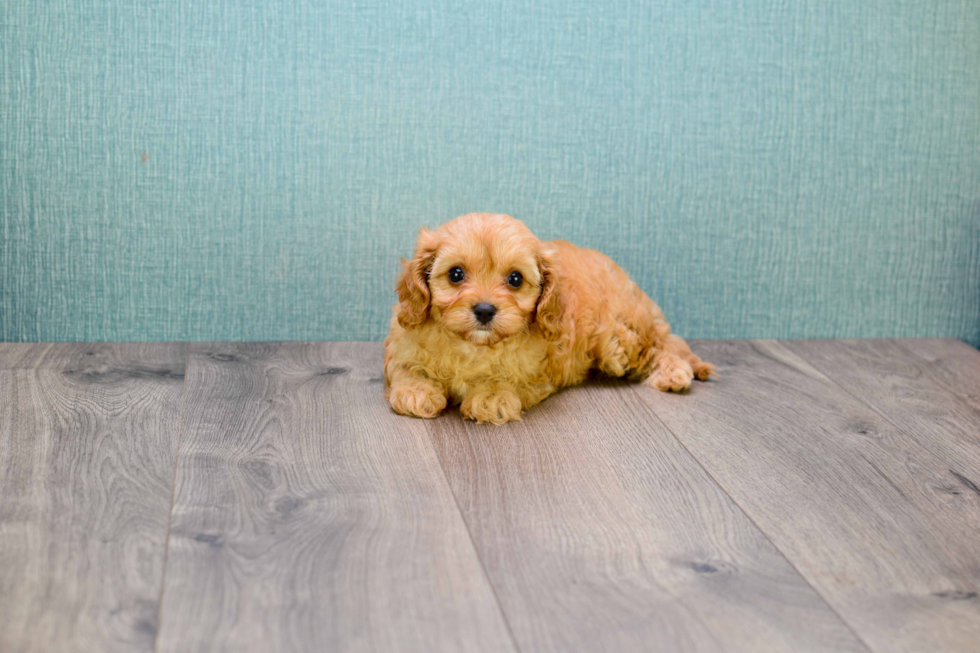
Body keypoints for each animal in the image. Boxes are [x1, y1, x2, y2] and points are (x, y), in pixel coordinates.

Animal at [382, 211, 712, 420]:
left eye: (515, 279)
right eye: (455, 274)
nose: (485, 310)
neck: (474, 346)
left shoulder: (534, 373)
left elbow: (506, 380)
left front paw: (491, 396)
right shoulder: (403, 344)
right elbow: (407, 369)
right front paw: (416, 391)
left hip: (618, 342)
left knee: (660, 344)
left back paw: (673, 372)